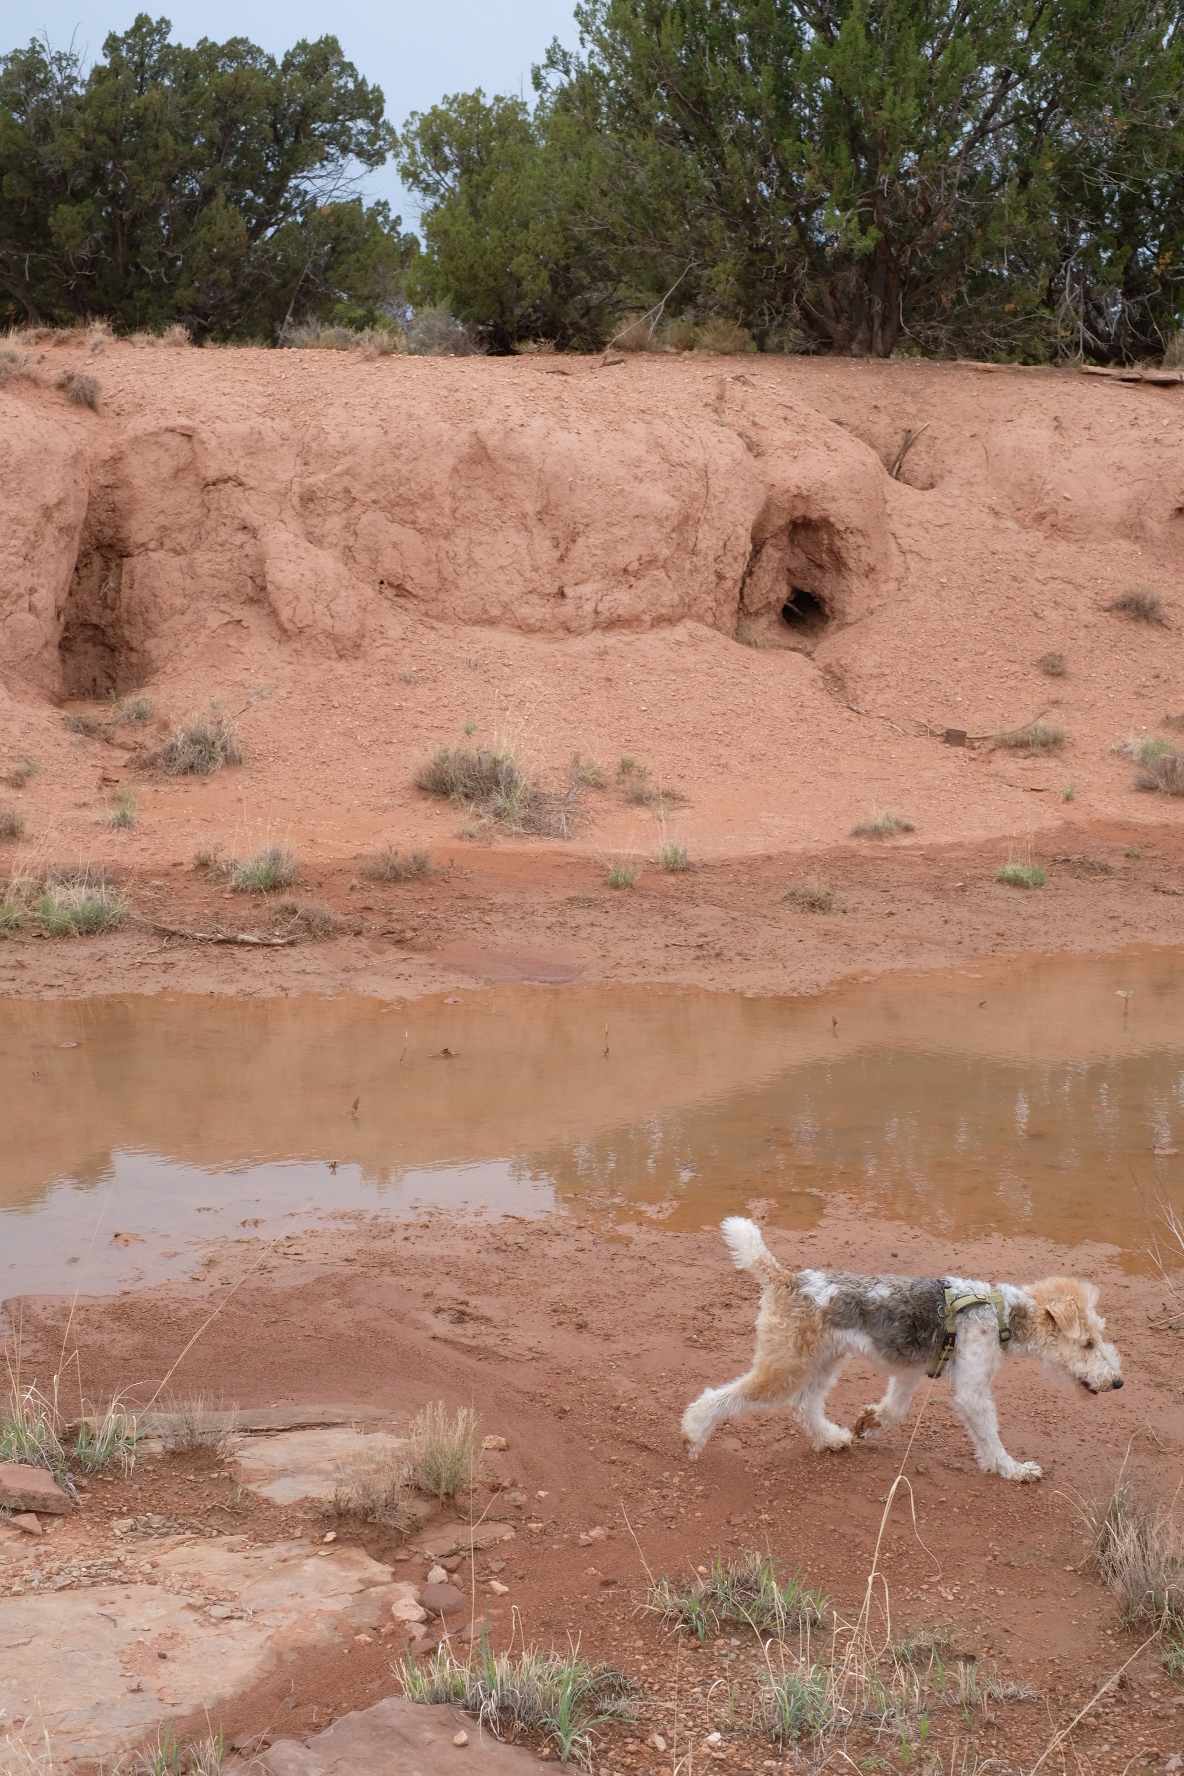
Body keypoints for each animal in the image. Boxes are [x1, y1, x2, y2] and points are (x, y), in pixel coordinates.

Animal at [681, 1214, 1128, 1477]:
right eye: (1088, 1343)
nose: (1118, 1383)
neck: (998, 1313)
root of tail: (786, 1279)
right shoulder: (972, 1390)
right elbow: (989, 1434)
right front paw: (1014, 1469)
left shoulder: (910, 1373)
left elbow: (893, 1410)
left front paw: (868, 1422)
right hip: (785, 1366)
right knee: (717, 1398)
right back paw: (692, 1434)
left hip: (824, 1361)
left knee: (806, 1406)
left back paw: (832, 1439)